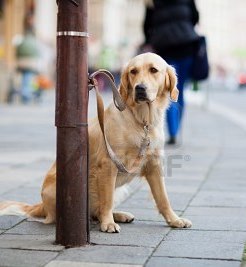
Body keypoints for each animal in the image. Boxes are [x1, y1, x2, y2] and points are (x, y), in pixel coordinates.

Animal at [0, 53, 191, 233]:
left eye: (153, 70)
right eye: (133, 71)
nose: (140, 88)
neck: (142, 120)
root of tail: (40, 206)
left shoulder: (154, 164)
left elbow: (163, 198)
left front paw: (174, 219)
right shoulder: (108, 164)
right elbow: (107, 201)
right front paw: (108, 223)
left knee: (97, 211)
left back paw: (120, 215)